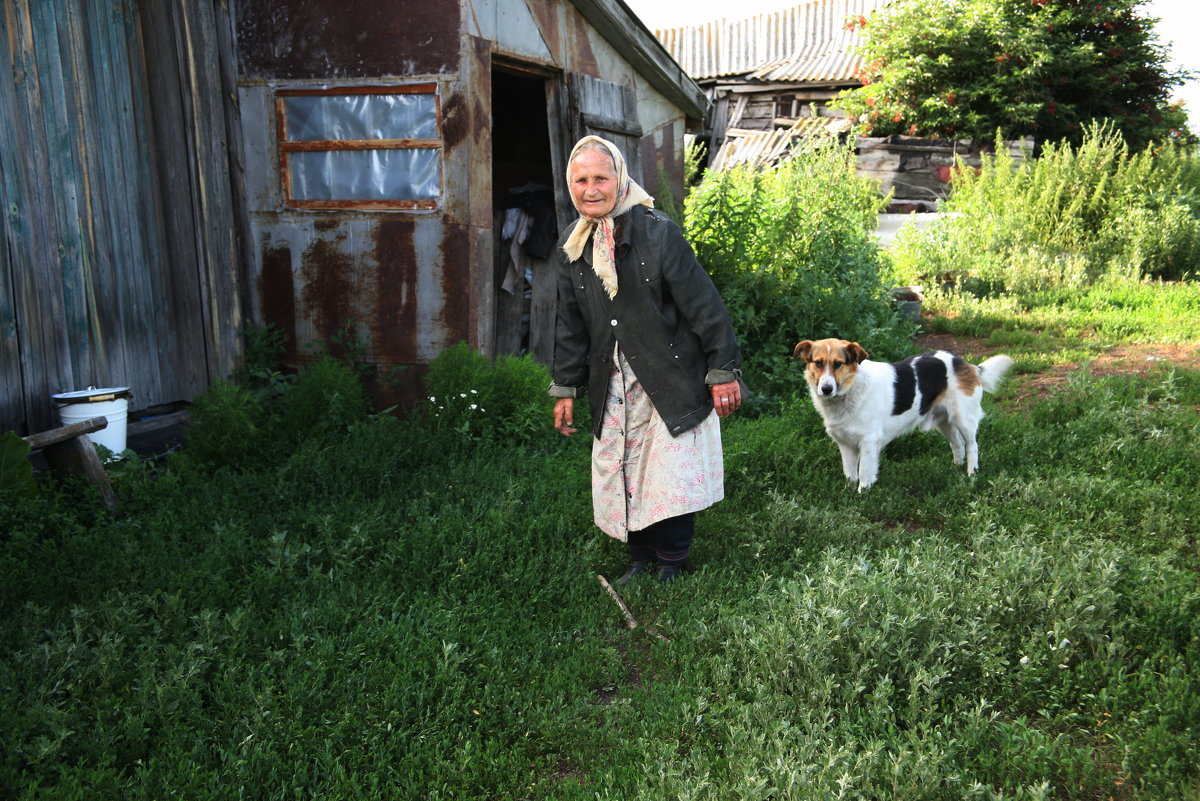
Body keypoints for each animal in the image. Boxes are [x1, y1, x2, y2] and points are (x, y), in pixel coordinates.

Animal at [796, 335, 1012, 491]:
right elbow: (849, 472)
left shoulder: (868, 442)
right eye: (818, 363)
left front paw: (862, 493)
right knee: (957, 443)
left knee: (972, 446)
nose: (826, 389)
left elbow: (865, 472)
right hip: (944, 421)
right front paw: (848, 491)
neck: (850, 389)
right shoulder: (845, 443)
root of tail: (965, 363)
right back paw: (957, 466)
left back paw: (971, 472)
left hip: (963, 418)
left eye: (838, 364)